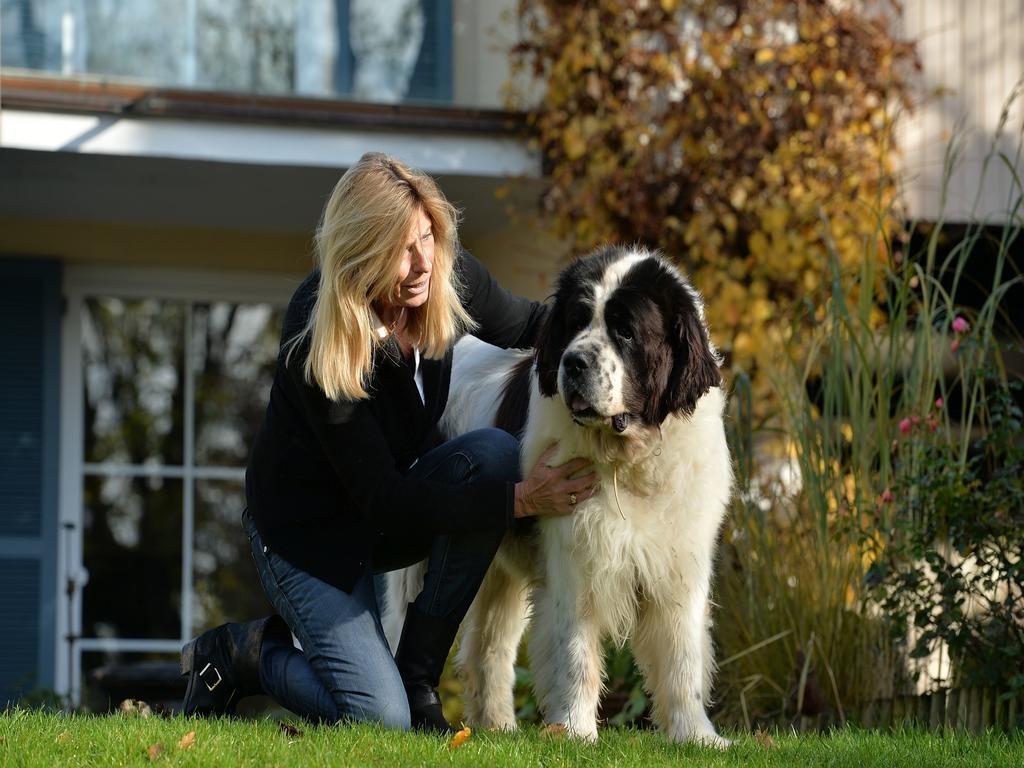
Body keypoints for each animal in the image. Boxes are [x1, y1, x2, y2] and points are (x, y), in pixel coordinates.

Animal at [385, 246, 729, 745]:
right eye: (576, 321)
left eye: (626, 331)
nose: (574, 362)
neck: (627, 462)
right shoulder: (574, 558)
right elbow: (575, 653)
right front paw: (575, 730)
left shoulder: (680, 562)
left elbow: (683, 657)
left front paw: (697, 736)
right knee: (400, 621)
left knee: (489, 645)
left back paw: (497, 724)